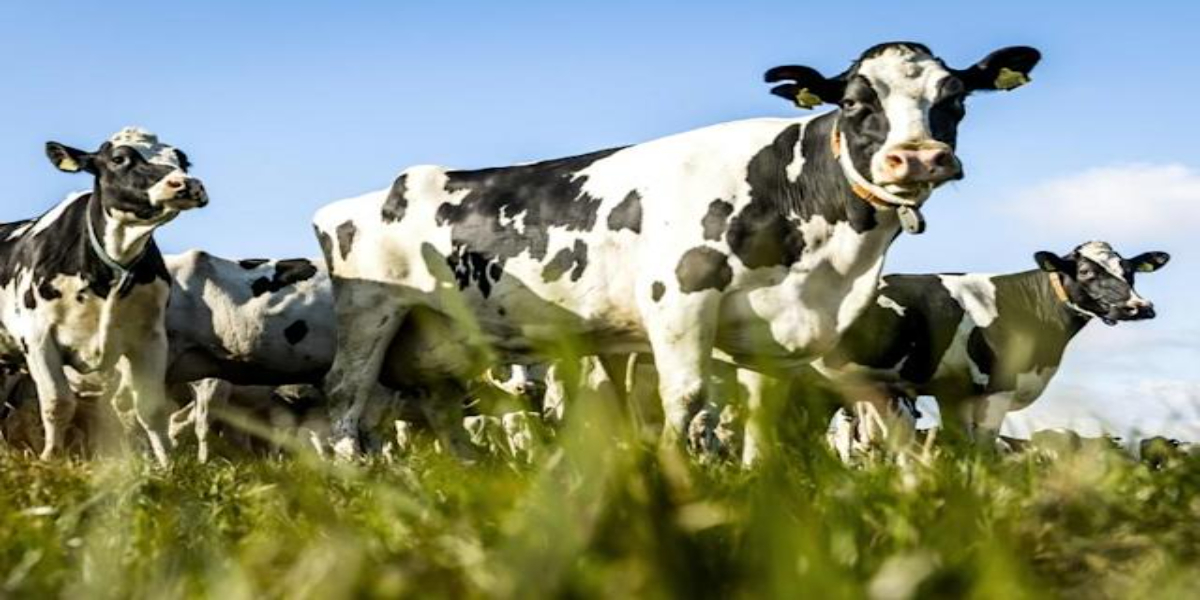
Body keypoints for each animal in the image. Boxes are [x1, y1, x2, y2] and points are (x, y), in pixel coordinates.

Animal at [0, 128, 207, 464]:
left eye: (183, 160)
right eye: (119, 158)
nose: (187, 184)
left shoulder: (150, 337)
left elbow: (151, 409)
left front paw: (167, 465)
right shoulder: (38, 337)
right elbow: (58, 403)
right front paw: (50, 458)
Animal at [312, 42, 1042, 459]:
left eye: (956, 99)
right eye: (857, 102)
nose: (916, 157)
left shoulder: (770, 332)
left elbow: (759, 413)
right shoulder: (679, 300)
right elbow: (687, 402)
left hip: (442, 345)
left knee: (439, 416)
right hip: (371, 318)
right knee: (344, 406)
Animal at [815, 242, 1170, 452]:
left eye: (1130, 271)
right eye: (1085, 271)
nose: (1140, 307)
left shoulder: (955, 393)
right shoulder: (999, 387)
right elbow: (985, 451)